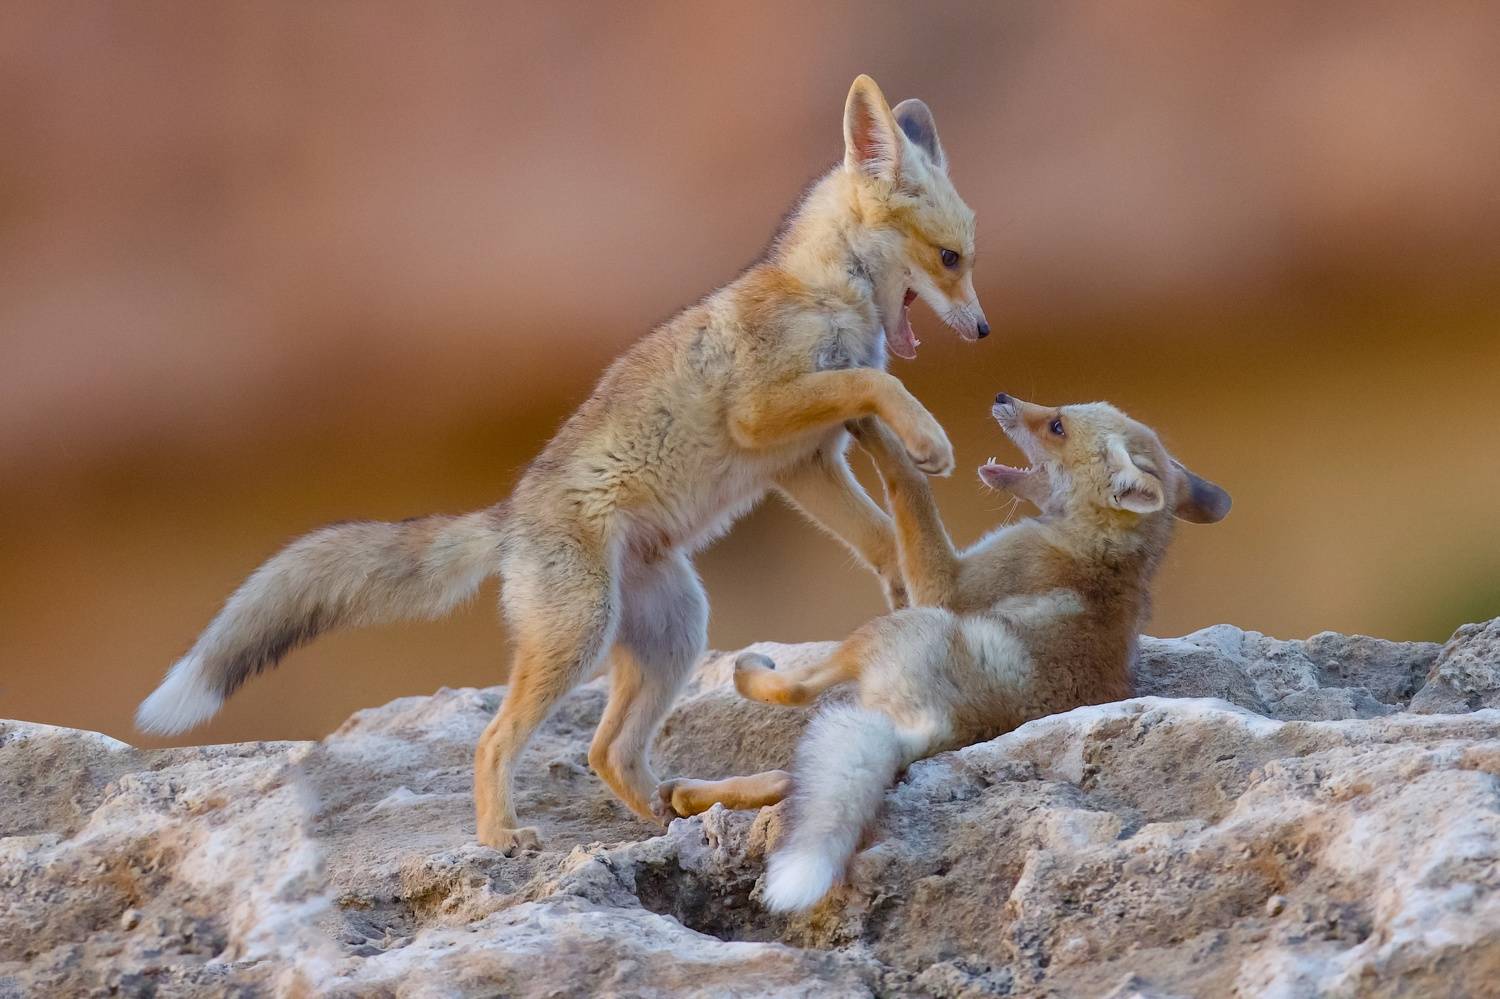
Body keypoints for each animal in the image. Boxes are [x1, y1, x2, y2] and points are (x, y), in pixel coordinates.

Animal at [135, 75, 990, 853]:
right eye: (949, 258)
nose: (983, 329)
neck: (822, 292)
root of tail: (510, 514)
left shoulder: (806, 461)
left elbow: (877, 528)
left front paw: (902, 578)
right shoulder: (764, 413)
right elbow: (880, 383)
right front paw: (930, 441)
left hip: (673, 630)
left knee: (607, 753)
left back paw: (678, 814)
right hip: (580, 632)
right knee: (499, 740)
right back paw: (501, 834)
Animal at [652, 394, 1231, 911]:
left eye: (1057, 426)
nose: (1001, 396)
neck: (1100, 546)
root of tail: (948, 726)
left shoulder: (947, 588)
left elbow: (911, 489)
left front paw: (882, 430)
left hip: (899, 627)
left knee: (795, 696)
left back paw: (747, 677)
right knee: (788, 780)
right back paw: (686, 795)